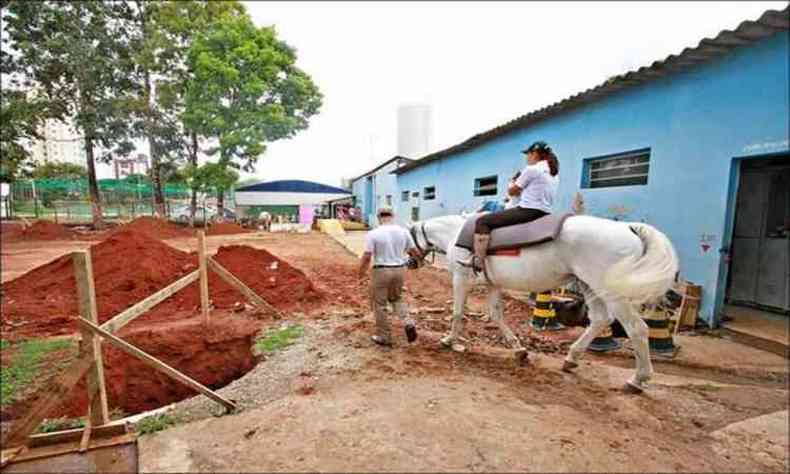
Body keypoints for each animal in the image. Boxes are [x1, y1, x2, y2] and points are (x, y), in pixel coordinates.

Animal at [408, 215, 680, 392]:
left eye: (408, 239)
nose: (410, 263)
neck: (454, 234)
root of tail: (628, 227)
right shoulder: (494, 285)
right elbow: (496, 315)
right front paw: (519, 350)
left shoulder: (460, 278)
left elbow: (457, 312)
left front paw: (448, 340)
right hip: (589, 285)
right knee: (600, 319)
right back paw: (572, 358)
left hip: (611, 291)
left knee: (637, 328)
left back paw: (638, 379)